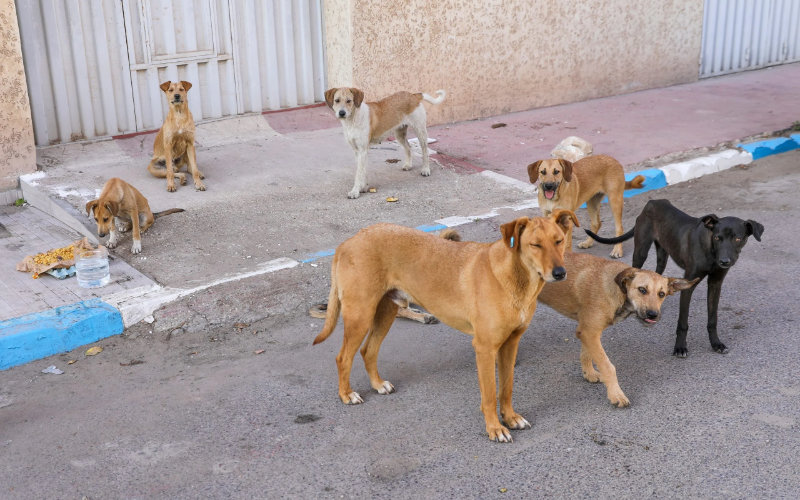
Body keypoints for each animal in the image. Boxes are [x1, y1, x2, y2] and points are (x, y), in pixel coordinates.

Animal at [310, 209, 580, 444]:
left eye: (559, 241)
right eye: (535, 245)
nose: (560, 273)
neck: (515, 278)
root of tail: (349, 241)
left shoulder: (510, 344)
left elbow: (506, 388)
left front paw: (511, 418)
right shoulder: (485, 349)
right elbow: (490, 395)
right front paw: (494, 428)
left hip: (386, 311)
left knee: (368, 351)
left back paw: (377, 384)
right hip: (361, 315)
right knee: (343, 357)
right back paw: (346, 394)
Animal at [536, 250, 700, 406]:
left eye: (662, 294)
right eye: (642, 290)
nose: (653, 315)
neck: (618, 291)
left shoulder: (587, 331)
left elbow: (586, 353)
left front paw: (589, 373)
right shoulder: (590, 332)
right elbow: (608, 367)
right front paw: (616, 394)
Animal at [588, 197, 764, 358]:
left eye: (738, 238)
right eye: (717, 238)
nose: (725, 261)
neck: (711, 251)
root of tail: (652, 202)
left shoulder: (715, 284)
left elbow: (713, 318)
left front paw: (716, 344)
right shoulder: (689, 285)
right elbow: (683, 322)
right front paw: (680, 347)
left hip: (662, 254)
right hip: (641, 251)